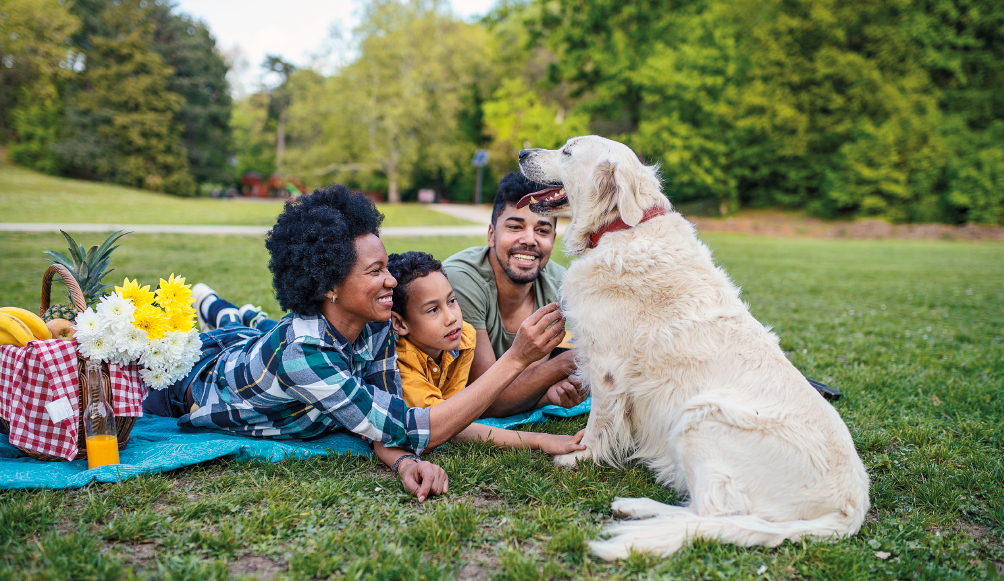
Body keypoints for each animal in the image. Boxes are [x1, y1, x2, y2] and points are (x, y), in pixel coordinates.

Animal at [518, 135, 871, 557]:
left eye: (568, 151)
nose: (521, 153)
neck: (622, 228)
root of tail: (850, 509)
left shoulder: (606, 368)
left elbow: (597, 426)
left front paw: (579, 457)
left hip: (700, 416)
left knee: (711, 515)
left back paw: (637, 508)